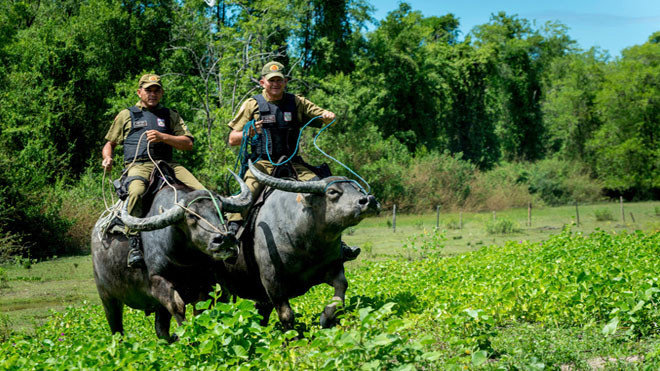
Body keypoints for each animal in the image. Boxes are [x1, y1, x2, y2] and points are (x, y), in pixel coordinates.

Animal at [90, 173, 250, 342]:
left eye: (221, 211)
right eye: (191, 216)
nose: (225, 239)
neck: (184, 261)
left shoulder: (205, 284)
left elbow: (201, 309)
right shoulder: (156, 281)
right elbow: (177, 305)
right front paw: (186, 334)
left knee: (161, 330)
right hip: (107, 297)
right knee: (116, 328)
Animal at [217, 161, 382, 330]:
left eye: (357, 189)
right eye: (332, 191)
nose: (369, 200)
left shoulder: (333, 267)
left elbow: (342, 288)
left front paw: (326, 318)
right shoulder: (271, 280)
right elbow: (286, 314)